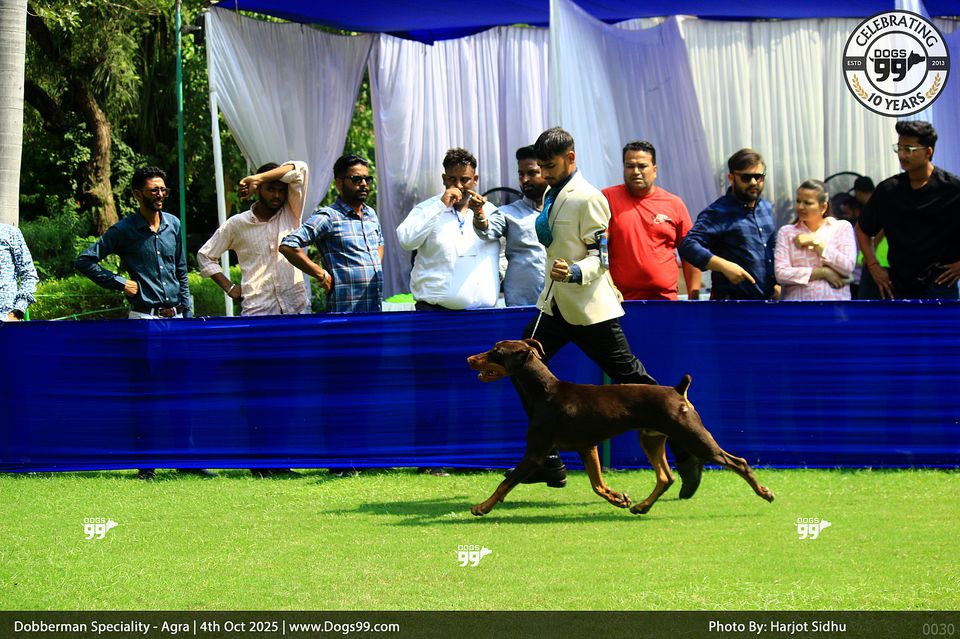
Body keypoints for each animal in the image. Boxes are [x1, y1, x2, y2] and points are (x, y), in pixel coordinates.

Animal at [466, 339, 775, 516]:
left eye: (495, 352)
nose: (469, 358)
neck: (545, 391)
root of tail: (678, 391)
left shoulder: (535, 452)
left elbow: (505, 484)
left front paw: (482, 507)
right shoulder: (587, 447)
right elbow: (597, 484)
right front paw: (619, 498)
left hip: (693, 435)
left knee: (737, 462)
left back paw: (764, 493)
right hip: (651, 438)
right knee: (665, 477)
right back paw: (642, 506)